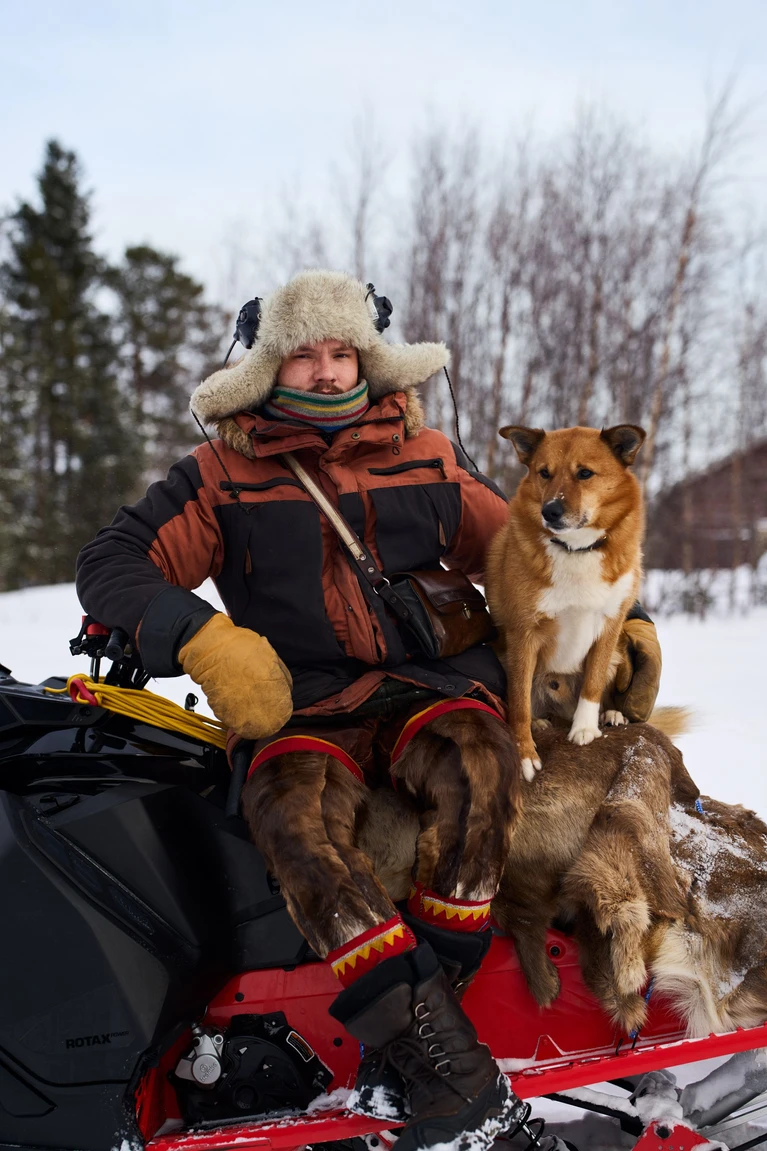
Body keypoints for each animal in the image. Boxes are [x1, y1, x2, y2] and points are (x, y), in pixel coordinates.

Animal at [483, 423, 644, 782]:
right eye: (544, 473)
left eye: (584, 473)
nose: (550, 511)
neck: (576, 549)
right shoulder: (523, 634)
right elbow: (519, 702)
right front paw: (524, 753)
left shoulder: (609, 626)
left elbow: (593, 684)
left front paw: (585, 728)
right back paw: (540, 721)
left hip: (616, 656)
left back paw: (611, 714)